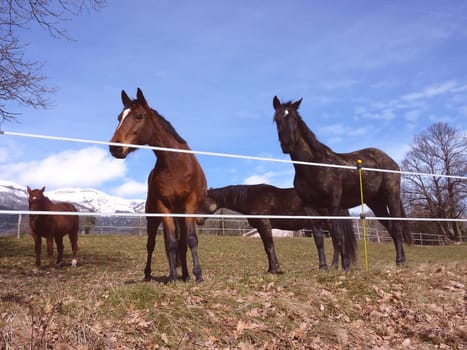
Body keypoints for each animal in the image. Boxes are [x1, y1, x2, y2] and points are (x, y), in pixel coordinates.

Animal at [110, 89, 208, 284]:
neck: (176, 165)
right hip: (153, 218)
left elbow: (191, 239)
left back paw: (186, 274)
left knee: (182, 243)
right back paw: (149, 274)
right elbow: (170, 243)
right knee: (152, 244)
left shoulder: (190, 204)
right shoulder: (164, 206)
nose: (114, 148)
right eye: (119, 117)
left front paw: (197, 275)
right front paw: (172, 277)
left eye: (139, 116)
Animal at [203, 185, 356, 272]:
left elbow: (269, 246)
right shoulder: (261, 227)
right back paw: (334, 266)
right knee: (336, 242)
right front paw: (270, 269)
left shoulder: (265, 224)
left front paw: (274, 269)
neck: (251, 197)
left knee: (337, 240)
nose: (198, 221)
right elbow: (267, 248)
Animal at [274, 95, 414, 266]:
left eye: (294, 118)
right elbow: (319, 239)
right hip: (376, 203)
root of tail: (390, 161)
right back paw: (402, 259)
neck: (314, 166)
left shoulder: (333, 204)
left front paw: (345, 265)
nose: (287, 145)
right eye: (277, 119)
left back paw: (400, 260)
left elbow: (338, 236)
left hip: (391, 195)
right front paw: (323, 266)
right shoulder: (309, 207)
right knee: (390, 227)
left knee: (397, 226)